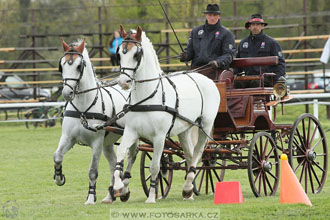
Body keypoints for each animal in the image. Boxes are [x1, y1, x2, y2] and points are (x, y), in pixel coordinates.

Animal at [53, 38, 138, 205]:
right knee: (113, 163)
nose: (67, 93)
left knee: (131, 156)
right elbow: (57, 156)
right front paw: (59, 177)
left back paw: (124, 188)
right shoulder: (68, 137)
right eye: (62, 65)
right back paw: (111, 194)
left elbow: (93, 171)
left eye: (79, 66)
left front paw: (91, 197)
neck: (83, 108)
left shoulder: (97, 142)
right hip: (108, 142)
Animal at [113, 25, 219, 203]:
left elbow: (155, 166)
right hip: (185, 129)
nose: (123, 82)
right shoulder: (131, 131)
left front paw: (151, 197)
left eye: (136, 54)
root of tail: (206, 78)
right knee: (189, 155)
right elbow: (121, 153)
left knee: (198, 153)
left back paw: (188, 187)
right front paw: (119, 187)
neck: (147, 98)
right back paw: (188, 191)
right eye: (119, 53)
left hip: (205, 125)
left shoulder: (159, 136)